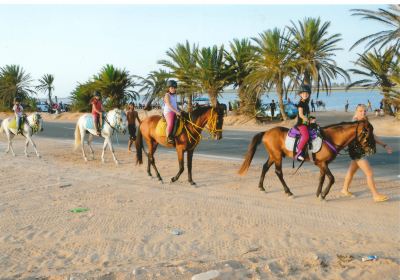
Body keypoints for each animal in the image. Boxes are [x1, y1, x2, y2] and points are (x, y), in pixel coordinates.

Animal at [238, 120, 376, 199]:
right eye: (368, 133)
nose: (373, 149)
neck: (330, 138)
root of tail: (266, 132)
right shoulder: (322, 163)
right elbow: (331, 178)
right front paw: (323, 194)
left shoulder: (322, 164)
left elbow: (322, 178)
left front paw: (318, 193)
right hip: (277, 156)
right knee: (278, 172)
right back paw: (288, 192)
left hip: (273, 155)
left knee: (265, 167)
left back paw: (261, 187)